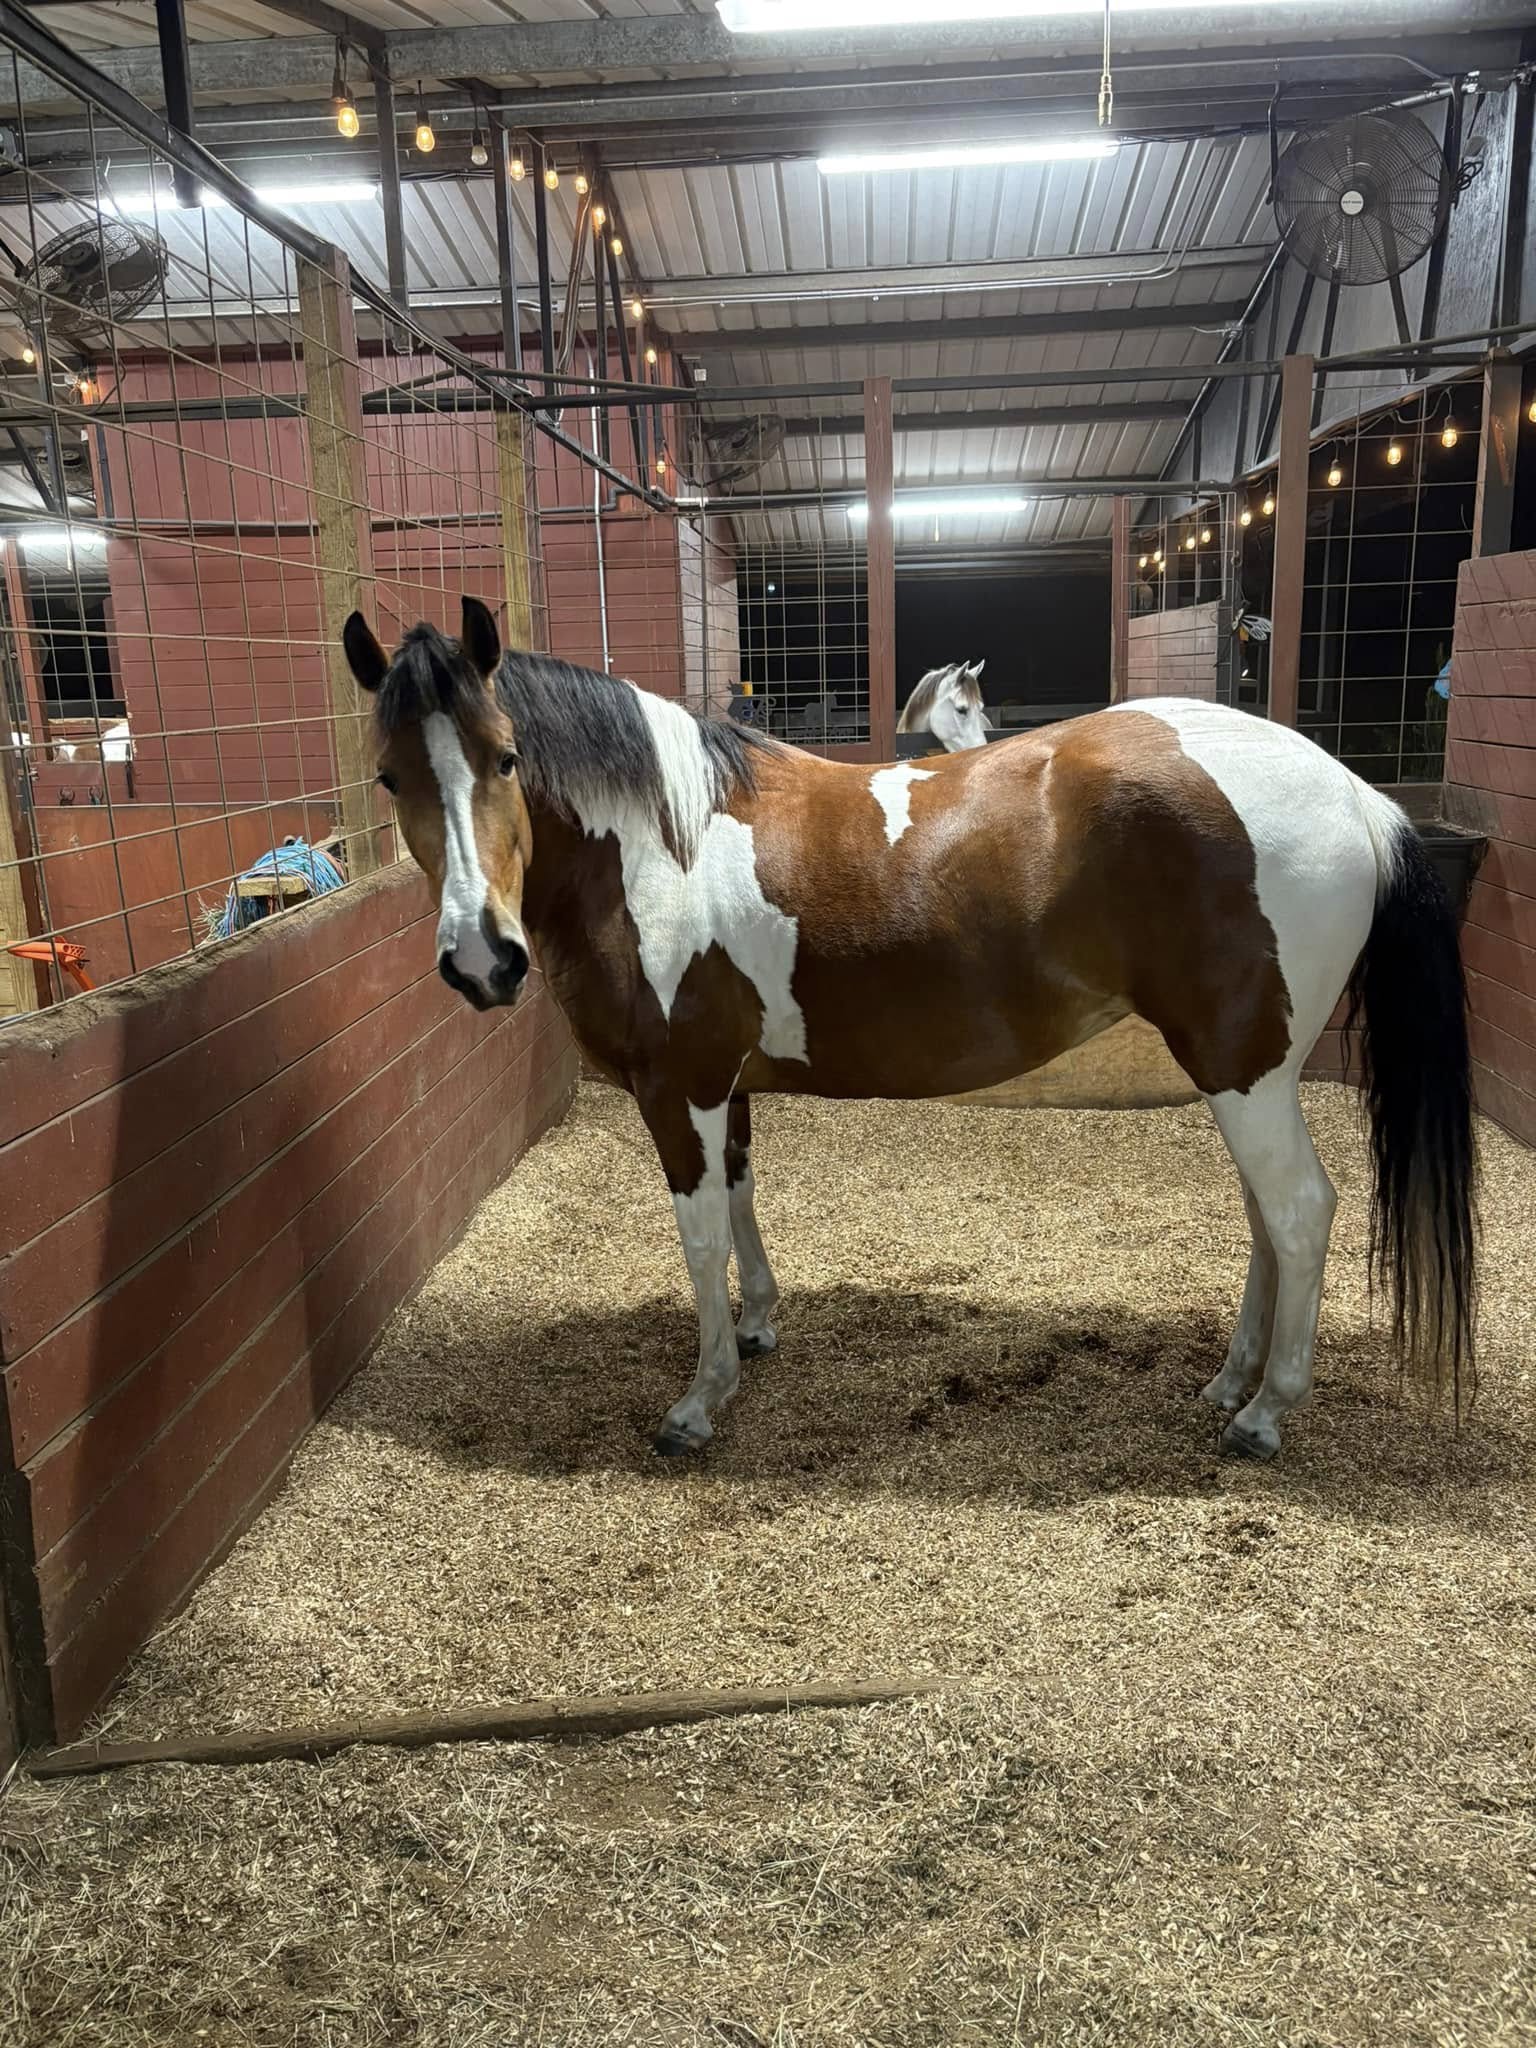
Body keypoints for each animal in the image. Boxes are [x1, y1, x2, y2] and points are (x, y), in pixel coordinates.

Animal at [343, 598, 1476, 1464]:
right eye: (391, 775)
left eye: (505, 758)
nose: (480, 959)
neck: (662, 846)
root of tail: (1354, 792)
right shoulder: (728, 1086)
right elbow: (743, 1204)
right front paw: (757, 1329)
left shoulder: (682, 1088)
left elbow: (700, 1234)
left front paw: (700, 1400)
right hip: (1244, 1070)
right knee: (1264, 1218)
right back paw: (1230, 1379)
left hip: (1245, 1068)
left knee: (1299, 1211)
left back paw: (1265, 1413)